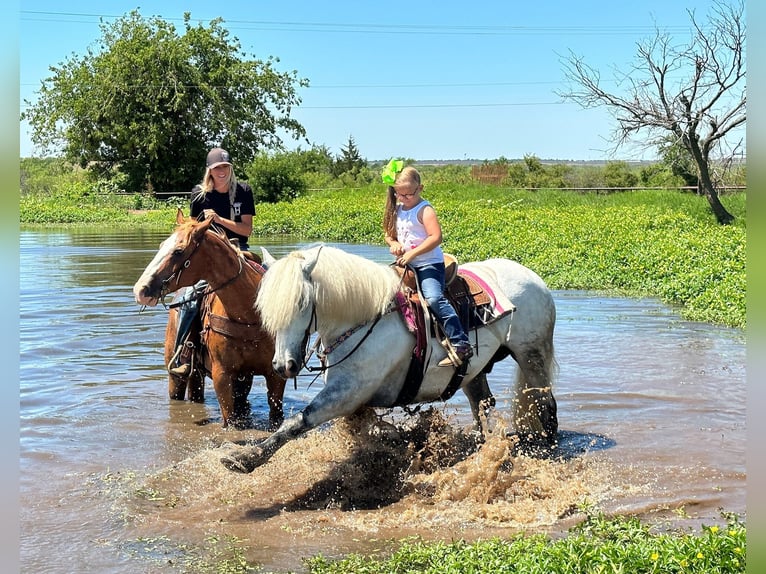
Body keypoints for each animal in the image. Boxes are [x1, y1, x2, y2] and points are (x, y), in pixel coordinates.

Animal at [132, 209, 288, 430]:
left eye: (178, 251)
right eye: (162, 245)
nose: (140, 290)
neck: (248, 316)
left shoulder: (275, 376)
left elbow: (275, 415)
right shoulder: (222, 375)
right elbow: (230, 420)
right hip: (178, 376)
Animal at [220, 245, 560, 474]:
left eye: (302, 302)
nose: (283, 365)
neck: (364, 317)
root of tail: (533, 277)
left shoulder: (347, 392)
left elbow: (297, 422)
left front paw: (245, 458)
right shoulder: (358, 400)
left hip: (532, 353)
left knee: (544, 403)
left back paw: (544, 446)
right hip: (475, 371)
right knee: (482, 405)